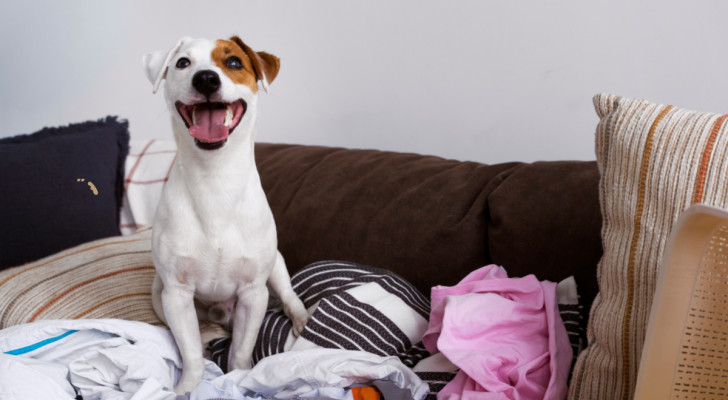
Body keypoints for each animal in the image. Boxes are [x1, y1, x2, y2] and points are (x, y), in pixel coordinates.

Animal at [144, 36, 310, 394]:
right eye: (183, 63)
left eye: (234, 62)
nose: (206, 79)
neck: (215, 179)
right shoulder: (176, 296)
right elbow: (192, 353)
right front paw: (187, 388)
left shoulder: (253, 293)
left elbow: (241, 352)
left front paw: (239, 379)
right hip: (158, 293)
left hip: (276, 266)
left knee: (289, 294)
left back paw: (301, 317)